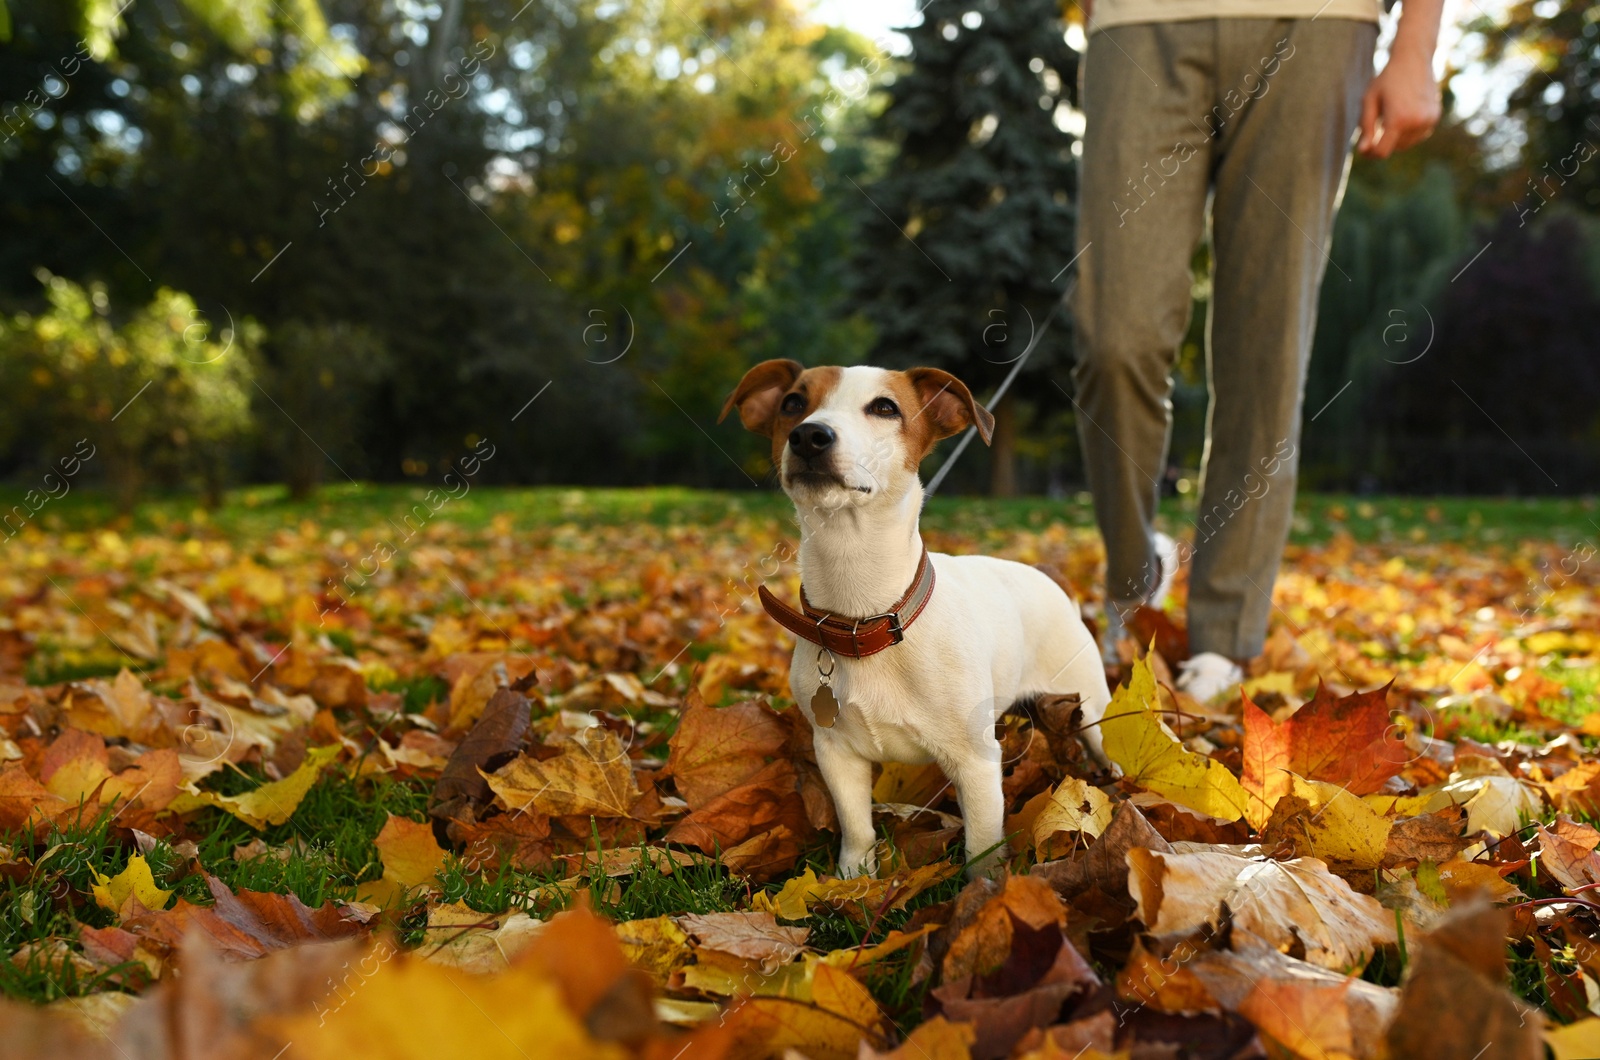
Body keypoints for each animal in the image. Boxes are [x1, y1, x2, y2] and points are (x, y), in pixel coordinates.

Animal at [720, 363, 1107, 877]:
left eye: (885, 407)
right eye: (792, 404)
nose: (809, 436)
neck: (866, 619)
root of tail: (1048, 577)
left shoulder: (975, 761)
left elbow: (982, 843)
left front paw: (985, 889)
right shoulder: (836, 753)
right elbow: (856, 827)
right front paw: (851, 879)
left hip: (1092, 707)